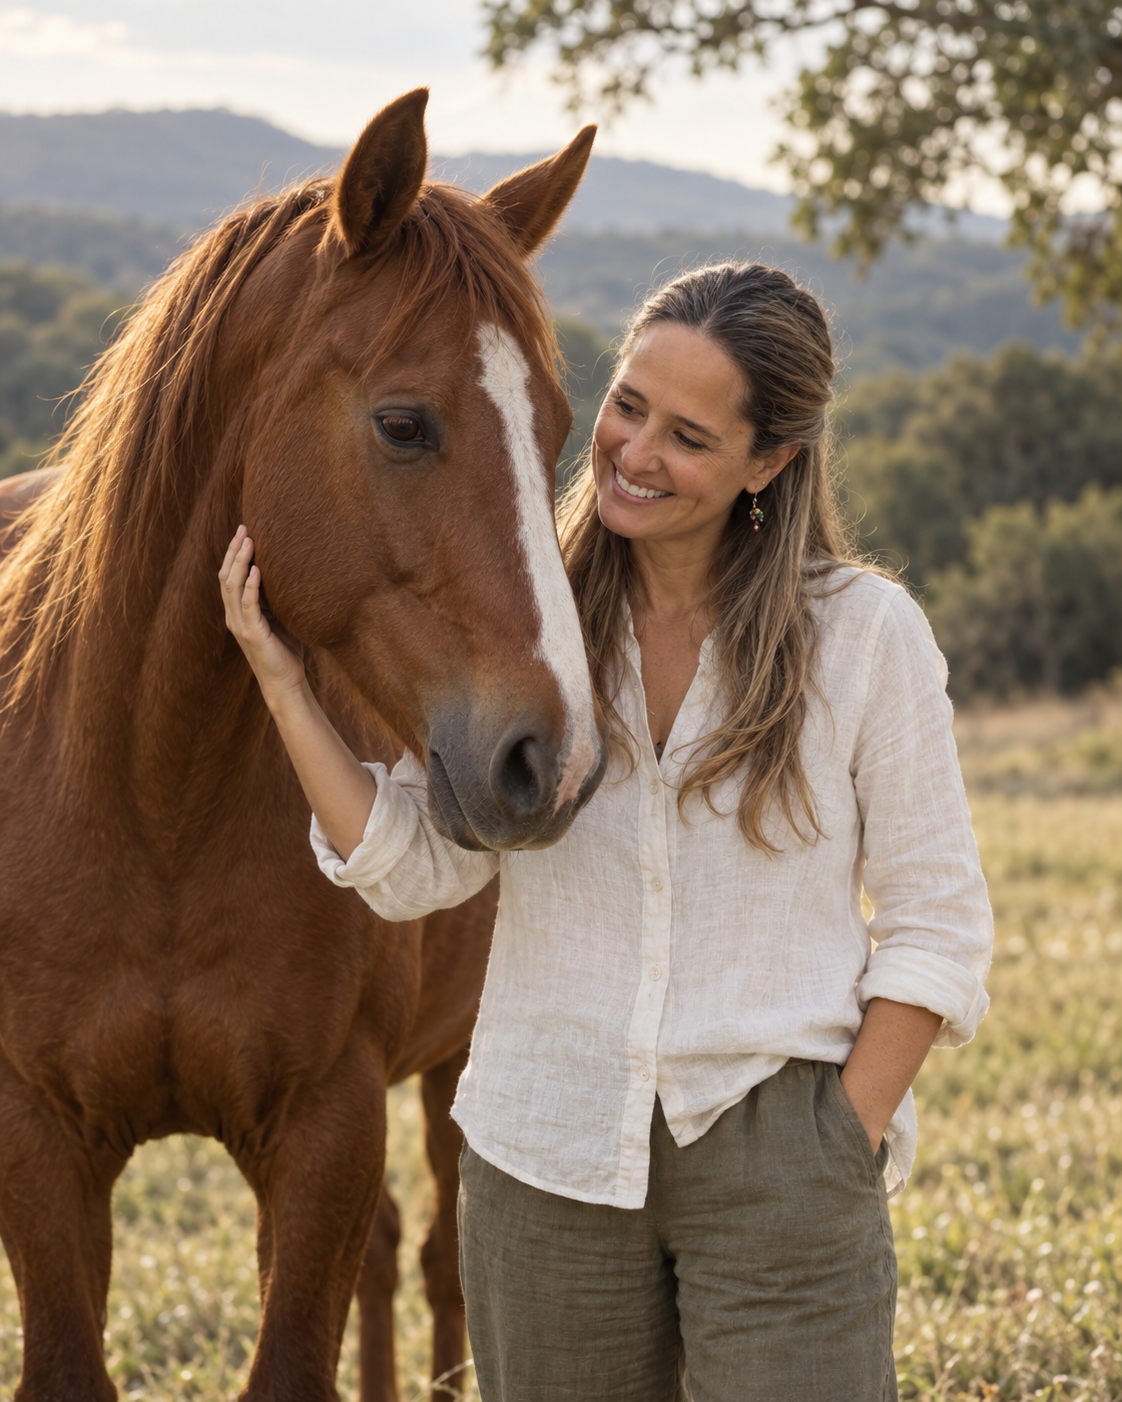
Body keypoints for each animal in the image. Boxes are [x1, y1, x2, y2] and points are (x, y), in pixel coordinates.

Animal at [0, 88, 605, 1402]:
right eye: (402, 424)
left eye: (556, 428)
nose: (554, 760)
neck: (148, 792)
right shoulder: (37, 1135)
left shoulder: (328, 1121)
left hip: (452, 1064)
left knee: (430, 1260)